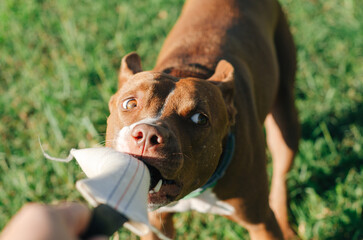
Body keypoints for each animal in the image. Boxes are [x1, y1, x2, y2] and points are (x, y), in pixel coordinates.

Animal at [105, 0, 298, 238]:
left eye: (200, 119)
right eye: (130, 104)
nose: (147, 135)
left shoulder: (261, 224)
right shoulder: (156, 225)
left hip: (286, 118)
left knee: (281, 171)